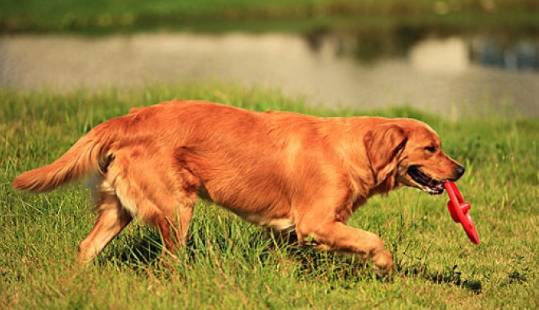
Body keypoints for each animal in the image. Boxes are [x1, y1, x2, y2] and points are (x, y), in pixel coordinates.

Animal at [14, 100, 466, 274]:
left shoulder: (288, 231)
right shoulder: (316, 222)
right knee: (167, 263)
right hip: (177, 210)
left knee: (86, 247)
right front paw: (386, 267)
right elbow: (375, 240)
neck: (351, 149)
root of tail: (129, 117)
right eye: (431, 148)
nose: (461, 170)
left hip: (119, 208)